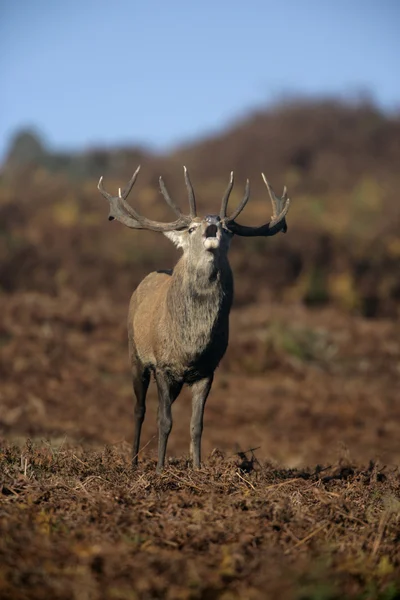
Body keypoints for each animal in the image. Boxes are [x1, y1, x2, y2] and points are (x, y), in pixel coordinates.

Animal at [97, 165, 290, 474]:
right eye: (190, 228)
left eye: (227, 228)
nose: (211, 221)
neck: (191, 345)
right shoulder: (163, 365)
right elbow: (164, 421)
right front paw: (160, 469)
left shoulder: (207, 370)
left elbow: (196, 425)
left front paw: (197, 469)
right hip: (134, 353)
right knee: (139, 409)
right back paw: (134, 461)